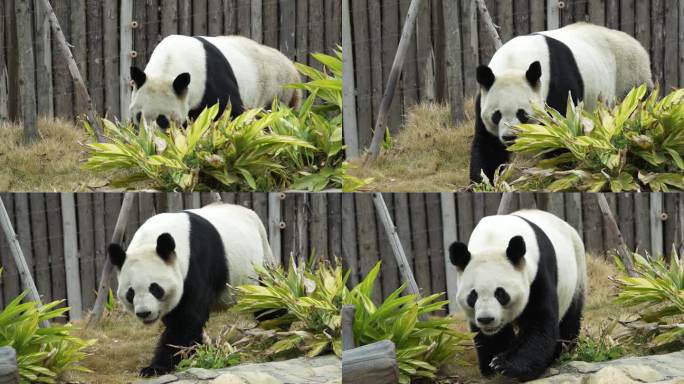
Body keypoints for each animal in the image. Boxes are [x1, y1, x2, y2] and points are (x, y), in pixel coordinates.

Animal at [128, 34, 300, 130]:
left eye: (162, 119)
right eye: (139, 116)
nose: (151, 139)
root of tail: (292, 66)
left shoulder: (211, 79)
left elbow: (232, 112)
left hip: (277, 90)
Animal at [448, 210, 588, 380]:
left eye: (500, 293)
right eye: (473, 295)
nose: (486, 319)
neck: (493, 240)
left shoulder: (537, 273)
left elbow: (539, 321)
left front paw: (505, 365)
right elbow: (492, 337)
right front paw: (491, 367)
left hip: (577, 272)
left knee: (570, 317)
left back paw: (561, 353)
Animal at [470, 22, 652, 183]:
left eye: (522, 114)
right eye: (496, 115)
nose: (510, 137)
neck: (514, 62)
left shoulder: (557, 86)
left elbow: (562, 136)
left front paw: (557, 173)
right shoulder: (483, 98)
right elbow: (488, 146)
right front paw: (484, 183)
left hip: (630, 78)